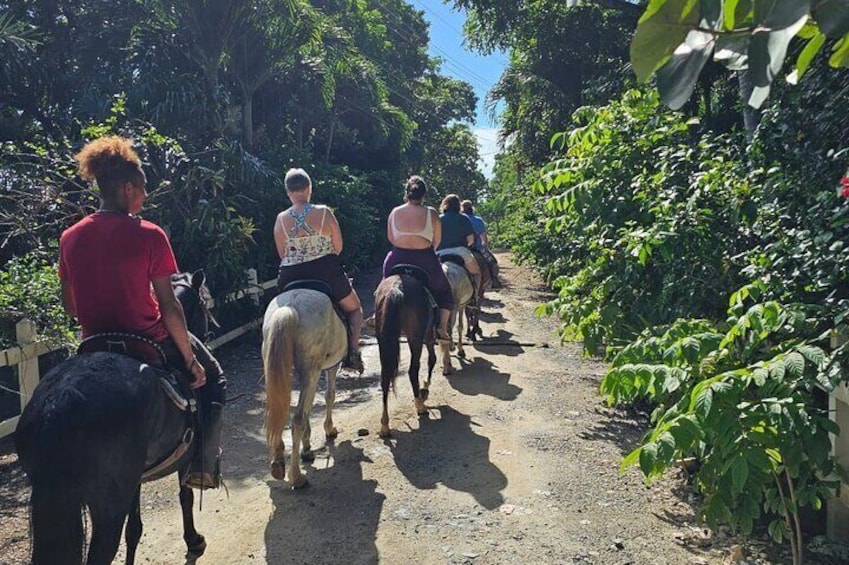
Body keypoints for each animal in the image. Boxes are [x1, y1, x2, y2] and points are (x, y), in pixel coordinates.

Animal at [14, 270, 217, 560]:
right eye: (203, 303)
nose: (213, 328)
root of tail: (61, 398)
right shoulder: (185, 457)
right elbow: (185, 497)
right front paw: (193, 540)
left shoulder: (135, 478)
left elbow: (134, 529)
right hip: (107, 503)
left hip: (52, 495)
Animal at [264, 288, 346, 486]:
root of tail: (290, 307)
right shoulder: (331, 367)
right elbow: (329, 396)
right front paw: (329, 430)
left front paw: (307, 446)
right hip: (312, 370)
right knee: (298, 418)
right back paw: (297, 477)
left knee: (278, 409)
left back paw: (278, 464)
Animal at [374, 268, 438, 436]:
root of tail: (396, 289)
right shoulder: (429, 334)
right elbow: (432, 359)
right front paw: (425, 386)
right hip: (415, 336)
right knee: (413, 369)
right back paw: (420, 406)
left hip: (383, 339)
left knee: (385, 377)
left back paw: (385, 425)